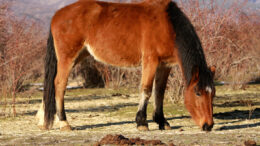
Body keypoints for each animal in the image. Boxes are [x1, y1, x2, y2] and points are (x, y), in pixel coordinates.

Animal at [35, 0, 216, 132]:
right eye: (197, 92)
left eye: (212, 93)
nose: (208, 125)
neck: (168, 25)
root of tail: (57, 14)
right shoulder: (150, 61)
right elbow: (146, 90)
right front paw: (142, 122)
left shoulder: (165, 65)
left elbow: (159, 92)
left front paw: (161, 121)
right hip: (68, 58)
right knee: (59, 85)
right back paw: (64, 122)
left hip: (78, 56)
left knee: (51, 84)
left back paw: (43, 119)